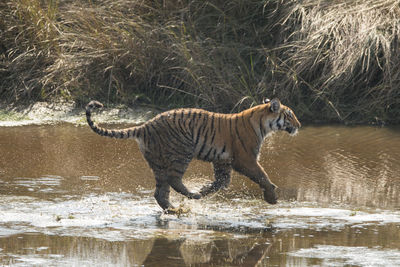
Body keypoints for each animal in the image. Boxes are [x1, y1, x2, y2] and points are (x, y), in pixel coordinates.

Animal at [86, 99, 300, 215]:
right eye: (289, 115)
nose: (299, 125)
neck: (262, 124)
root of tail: (145, 125)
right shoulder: (245, 159)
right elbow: (262, 176)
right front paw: (272, 197)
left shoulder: (223, 161)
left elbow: (221, 182)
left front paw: (204, 190)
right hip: (183, 151)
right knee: (173, 180)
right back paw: (191, 195)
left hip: (157, 162)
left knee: (160, 192)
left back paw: (176, 209)